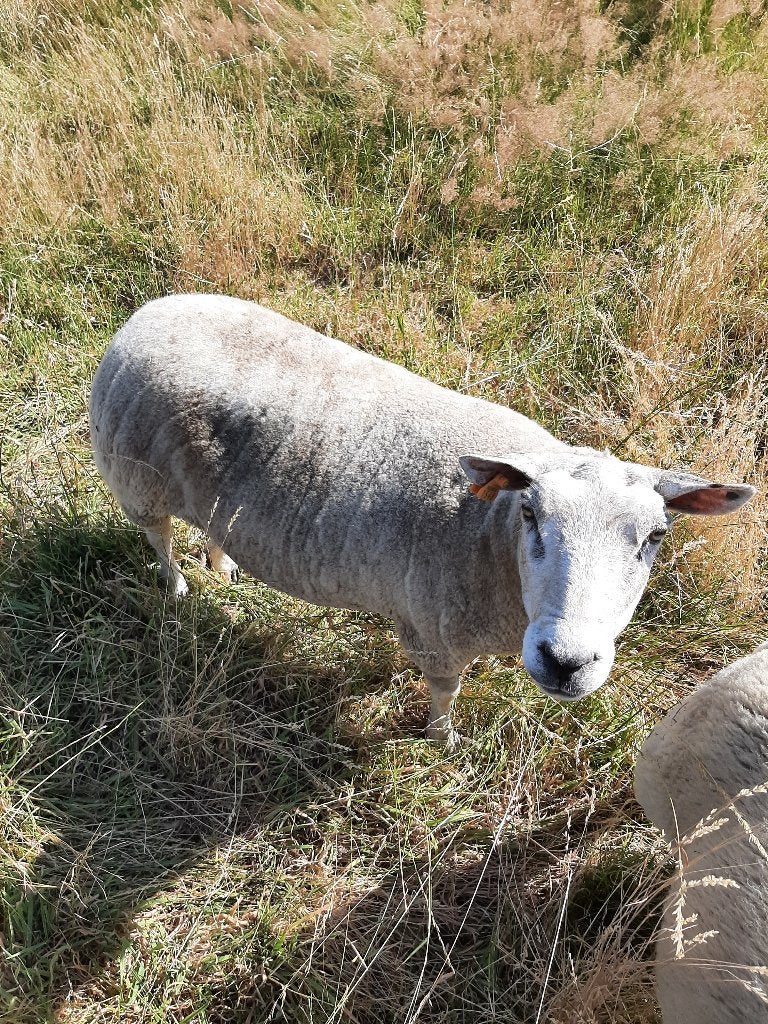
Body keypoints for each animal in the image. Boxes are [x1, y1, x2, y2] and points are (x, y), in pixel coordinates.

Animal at [89, 293, 755, 746]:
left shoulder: (419, 614)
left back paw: (223, 567)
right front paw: (441, 740)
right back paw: (177, 585)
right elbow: (444, 692)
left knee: (210, 528)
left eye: (656, 536)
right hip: (136, 477)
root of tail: (148, 313)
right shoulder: (438, 629)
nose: (566, 662)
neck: (490, 536)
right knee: (158, 535)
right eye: (531, 514)